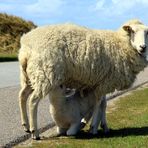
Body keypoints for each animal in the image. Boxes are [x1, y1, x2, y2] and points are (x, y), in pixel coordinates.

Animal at [18, 19, 148, 139]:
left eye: (147, 33)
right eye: (132, 31)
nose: (143, 47)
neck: (120, 43)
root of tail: (26, 46)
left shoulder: (102, 82)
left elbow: (104, 104)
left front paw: (104, 126)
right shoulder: (104, 83)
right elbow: (98, 103)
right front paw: (93, 127)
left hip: (30, 76)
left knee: (22, 95)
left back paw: (26, 126)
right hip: (45, 74)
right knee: (33, 101)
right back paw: (35, 132)